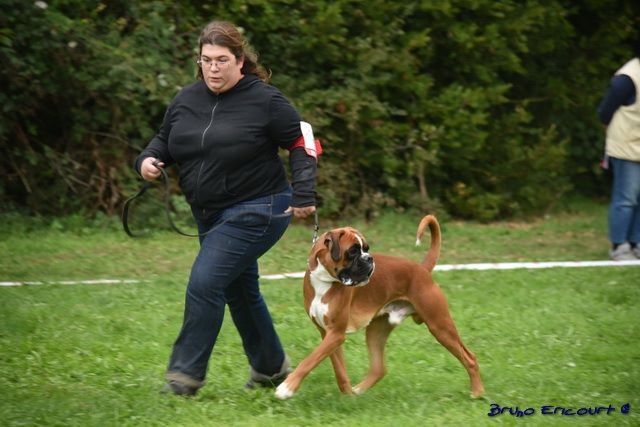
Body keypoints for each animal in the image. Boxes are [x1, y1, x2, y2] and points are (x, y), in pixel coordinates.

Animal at [274, 215, 484, 400]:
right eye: (353, 251)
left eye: (366, 248)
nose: (369, 258)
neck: (324, 280)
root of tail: (422, 269)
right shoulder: (328, 334)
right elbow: (338, 368)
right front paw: (347, 395)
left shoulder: (336, 334)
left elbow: (309, 360)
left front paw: (287, 388)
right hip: (377, 331)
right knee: (379, 369)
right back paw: (358, 390)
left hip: (440, 325)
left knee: (470, 357)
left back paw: (477, 393)